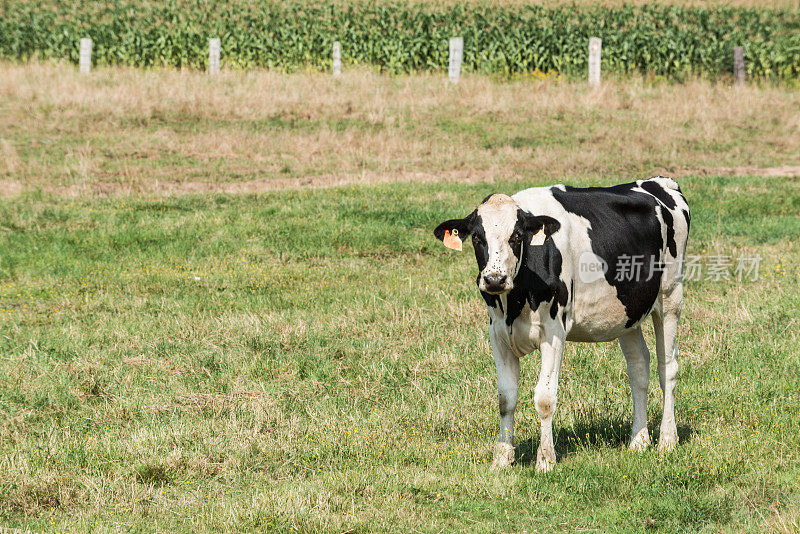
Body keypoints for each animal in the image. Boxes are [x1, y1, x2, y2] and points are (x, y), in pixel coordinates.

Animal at [434, 177, 692, 474]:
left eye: (517, 236)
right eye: (477, 237)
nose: (495, 279)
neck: (515, 301)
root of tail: (659, 182)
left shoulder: (553, 332)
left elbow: (545, 398)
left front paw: (545, 460)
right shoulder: (497, 333)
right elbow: (505, 398)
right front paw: (502, 459)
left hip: (670, 296)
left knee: (668, 368)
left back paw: (667, 440)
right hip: (628, 311)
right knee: (639, 367)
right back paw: (638, 441)